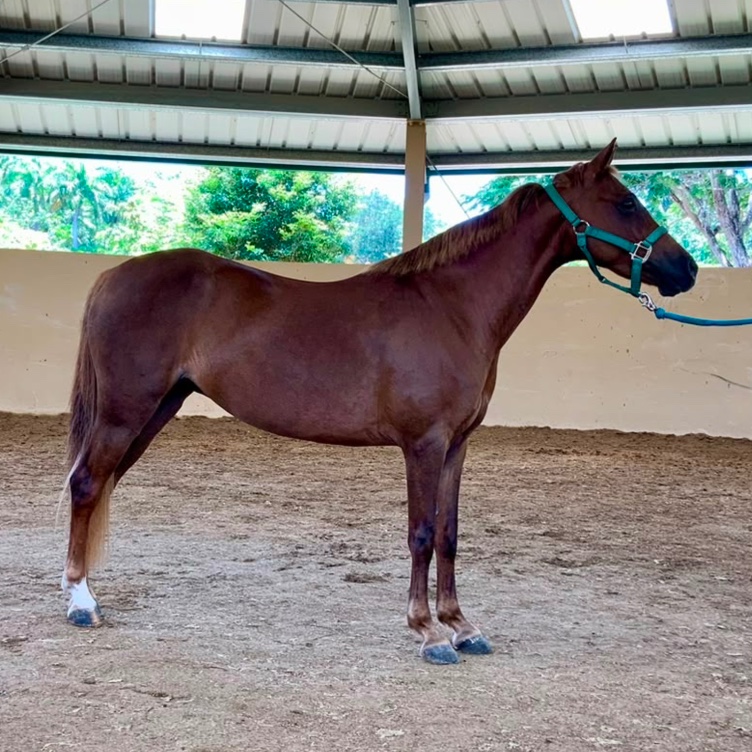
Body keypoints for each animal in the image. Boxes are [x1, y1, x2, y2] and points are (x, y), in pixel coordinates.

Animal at [59, 139, 697, 665]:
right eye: (626, 203)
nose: (686, 269)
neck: (452, 306)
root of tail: (113, 277)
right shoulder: (423, 444)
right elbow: (421, 533)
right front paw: (429, 633)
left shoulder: (457, 445)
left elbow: (449, 533)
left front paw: (462, 626)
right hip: (125, 412)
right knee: (87, 483)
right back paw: (80, 603)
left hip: (156, 409)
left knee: (98, 483)